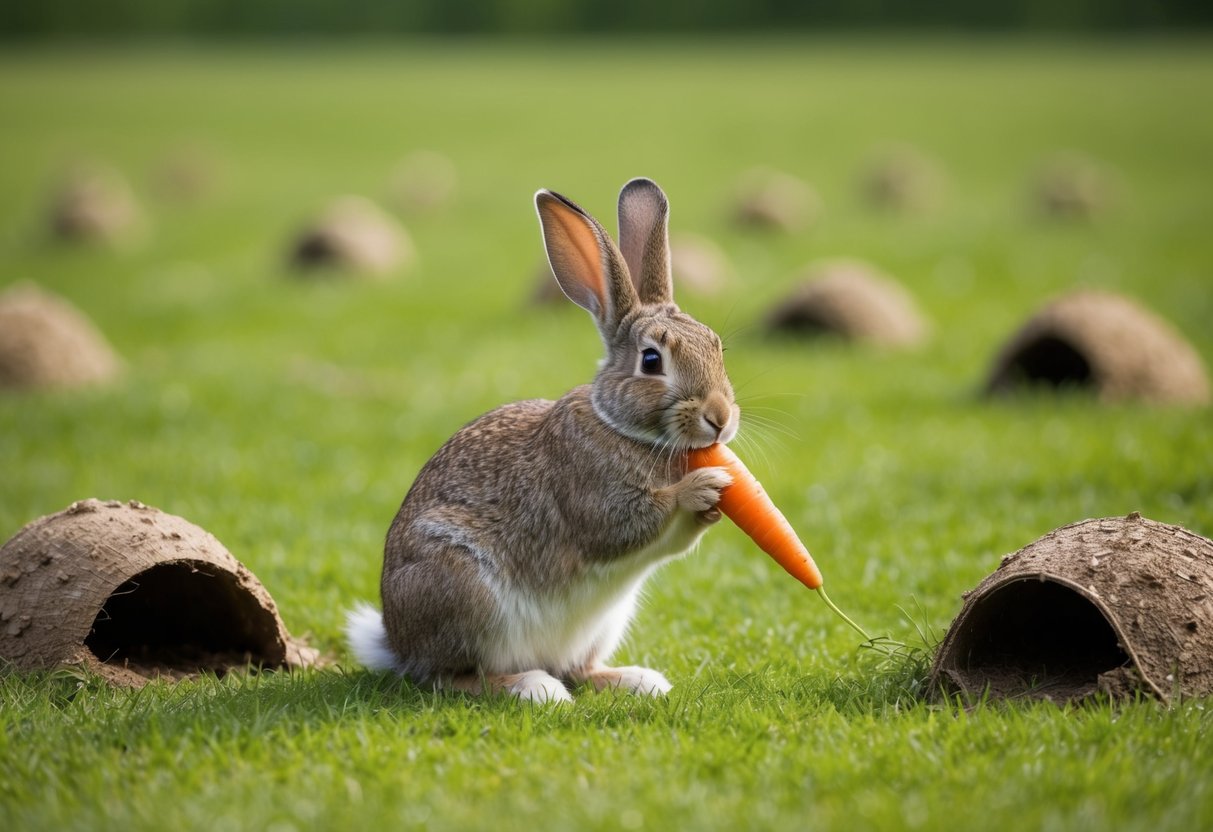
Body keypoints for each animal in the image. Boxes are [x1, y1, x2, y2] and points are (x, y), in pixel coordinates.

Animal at [346, 178, 740, 703]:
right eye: (652, 361)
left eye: (717, 346)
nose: (720, 418)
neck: (619, 426)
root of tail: (397, 643)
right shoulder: (592, 497)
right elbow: (630, 521)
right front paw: (703, 487)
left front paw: (713, 503)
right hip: (466, 592)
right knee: (454, 677)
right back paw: (534, 687)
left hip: (604, 623)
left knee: (578, 667)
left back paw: (637, 680)